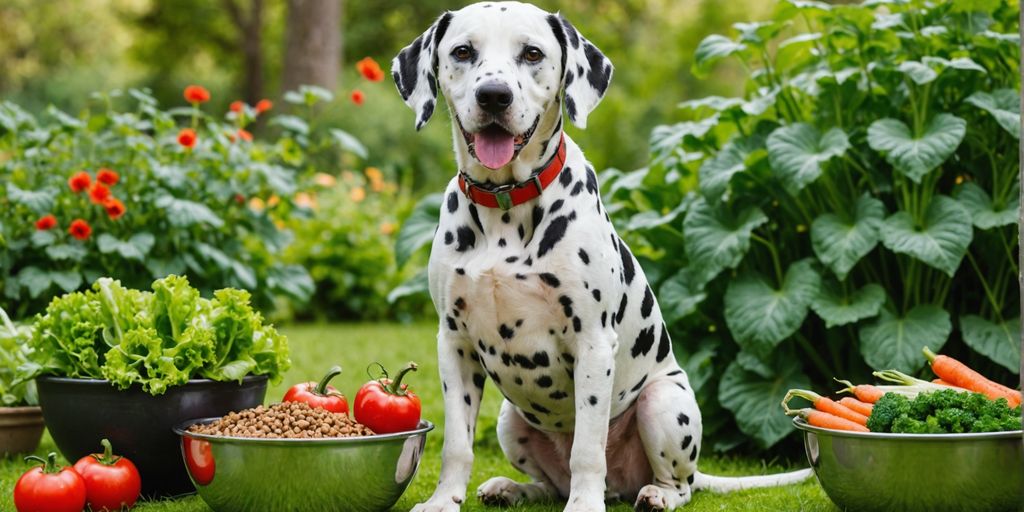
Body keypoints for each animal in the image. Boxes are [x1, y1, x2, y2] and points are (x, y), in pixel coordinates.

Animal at [389, 2, 806, 509]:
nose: (493, 96)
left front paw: (586, 503)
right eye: (463, 51)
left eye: (532, 53)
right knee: (550, 484)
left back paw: (654, 493)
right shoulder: (454, 344)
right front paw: (444, 499)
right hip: (510, 420)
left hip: (663, 404)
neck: (506, 204)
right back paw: (513, 488)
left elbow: (587, 448)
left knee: (677, 484)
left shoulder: (591, 343)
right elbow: (457, 444)